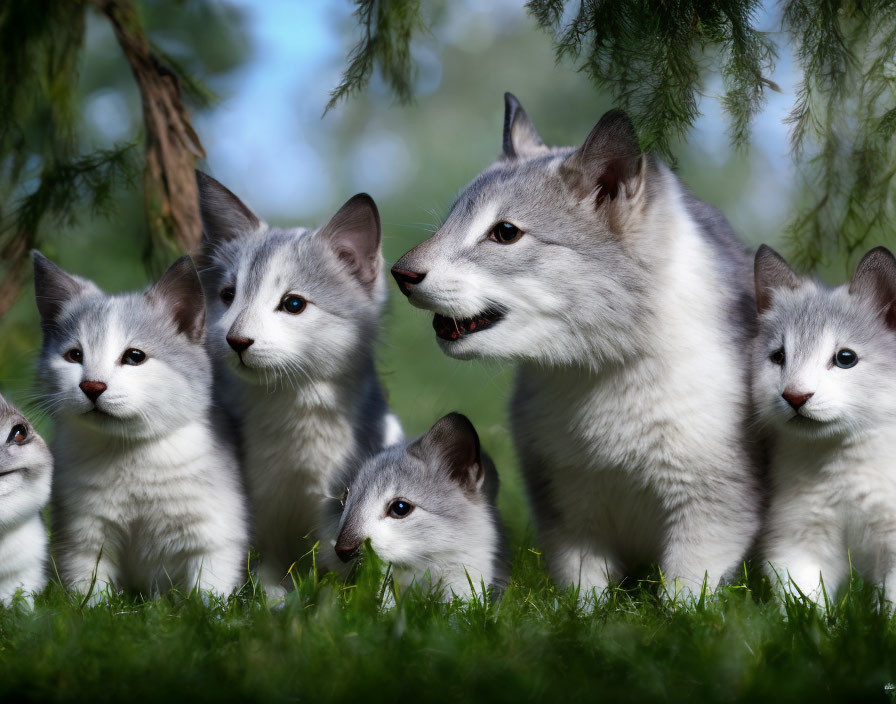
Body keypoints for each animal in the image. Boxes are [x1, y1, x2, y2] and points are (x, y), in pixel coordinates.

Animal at [33, 253, 250, 600]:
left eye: (134, 356)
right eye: (74, 355)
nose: (92, 386)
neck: (130, 454)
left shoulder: (214, 534)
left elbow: (208, 591)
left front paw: (207, 611)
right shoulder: (83, 536)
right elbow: (89, 590)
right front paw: (90, 609)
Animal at [200, 172, 406, 592]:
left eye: (293, 304)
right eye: (228, 296)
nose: (236, 340)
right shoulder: (256, 506)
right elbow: (264, 571)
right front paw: (274, 597)